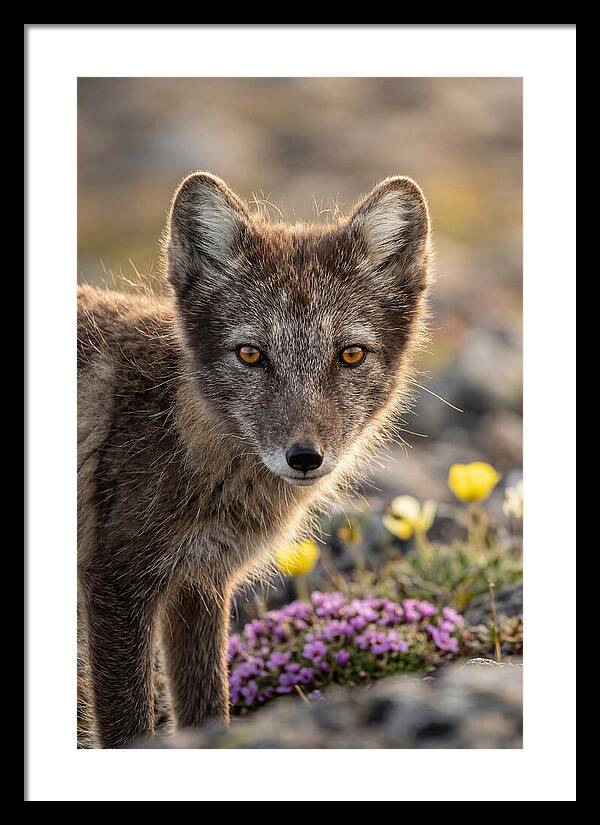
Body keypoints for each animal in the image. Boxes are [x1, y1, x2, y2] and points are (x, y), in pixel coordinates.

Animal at [77, 172, 432, 748]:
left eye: (350, 355)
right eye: (250, 354)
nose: (304, 457)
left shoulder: (199, 585)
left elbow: (208, 710)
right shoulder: (116, 583)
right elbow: (129, 729)